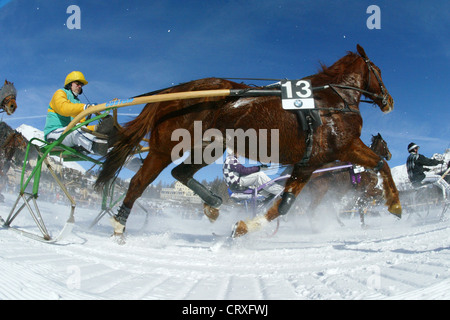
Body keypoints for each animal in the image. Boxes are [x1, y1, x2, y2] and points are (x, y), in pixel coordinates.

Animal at [95, 45, 400, 240]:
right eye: (379, 70)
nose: (389, 100)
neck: (330, 102)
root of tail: (176, 91)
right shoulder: (341, 148)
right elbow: (380, 165)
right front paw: (395, 204)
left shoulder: (312, 162)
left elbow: (284, 205)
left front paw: (243, 227)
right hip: (165, 147)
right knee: (139, 182)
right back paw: (120, 224)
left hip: (210, 146)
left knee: (180, 172)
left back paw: (212, 204)